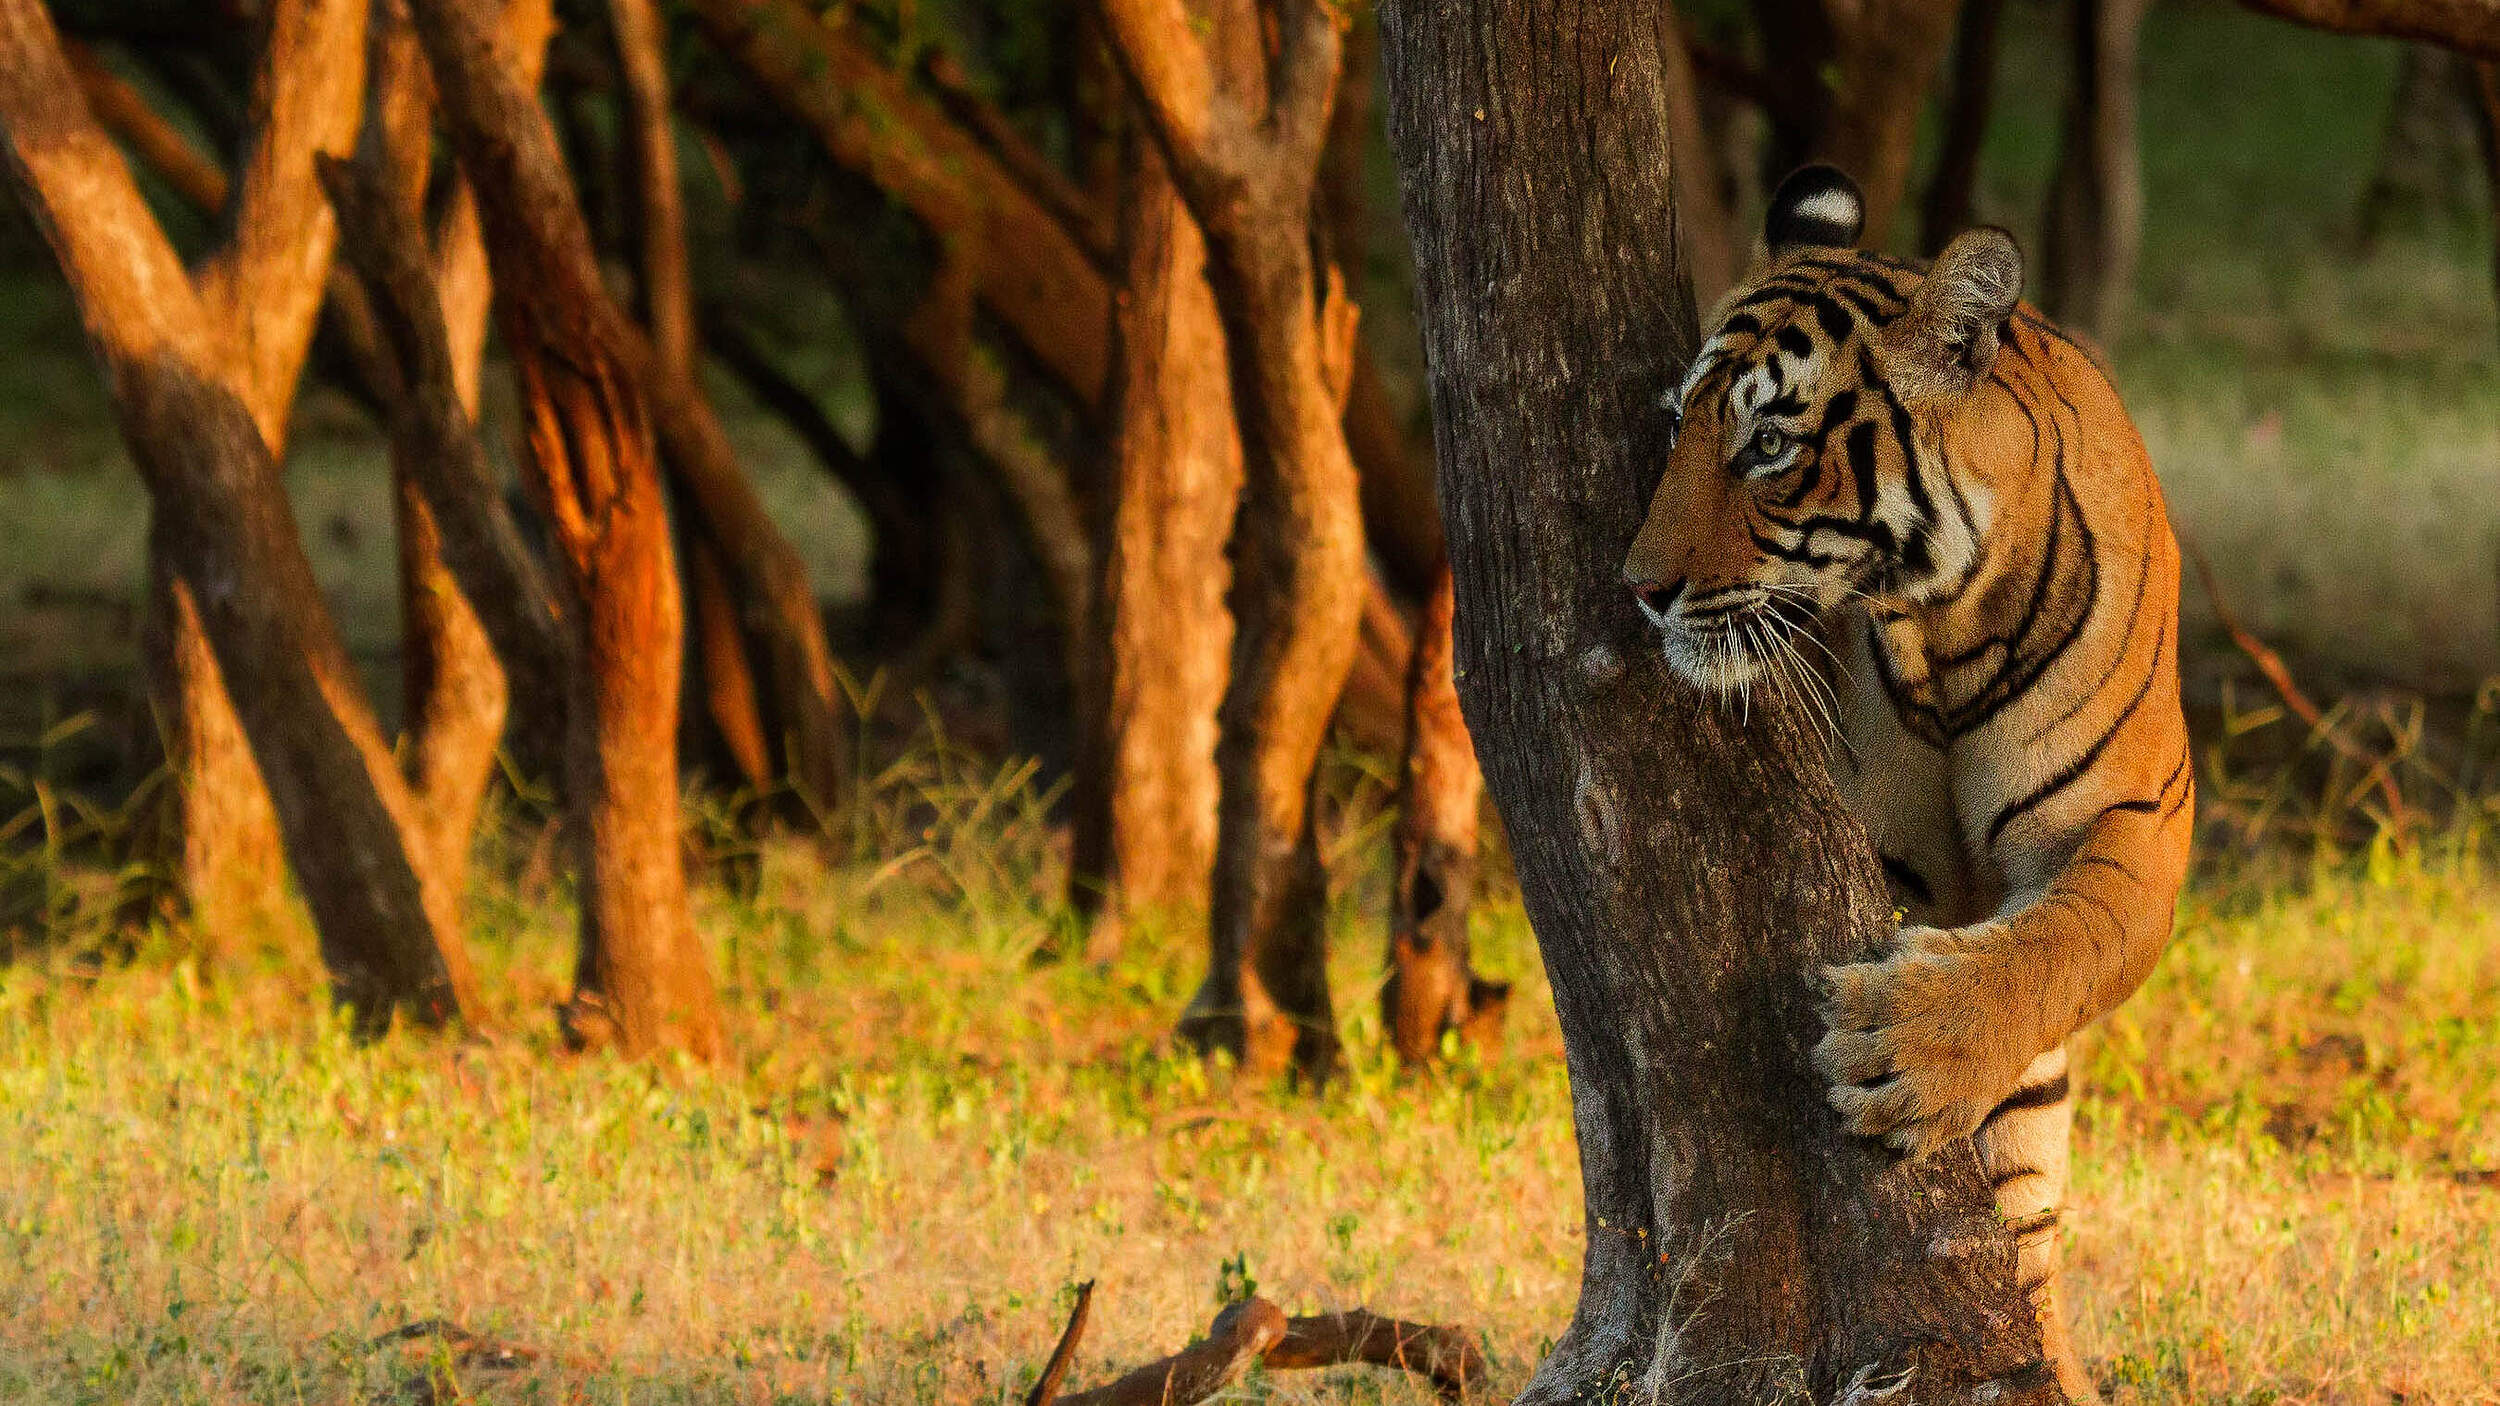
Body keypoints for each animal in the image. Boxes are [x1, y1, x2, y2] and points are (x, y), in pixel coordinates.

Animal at [1619, 165, 2194, 1397]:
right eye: (1677, 427)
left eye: (1768, 445)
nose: (1638, 588)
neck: (1947, 624)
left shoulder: (2134, 821)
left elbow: (2060, 942)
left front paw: (1907, 1043)